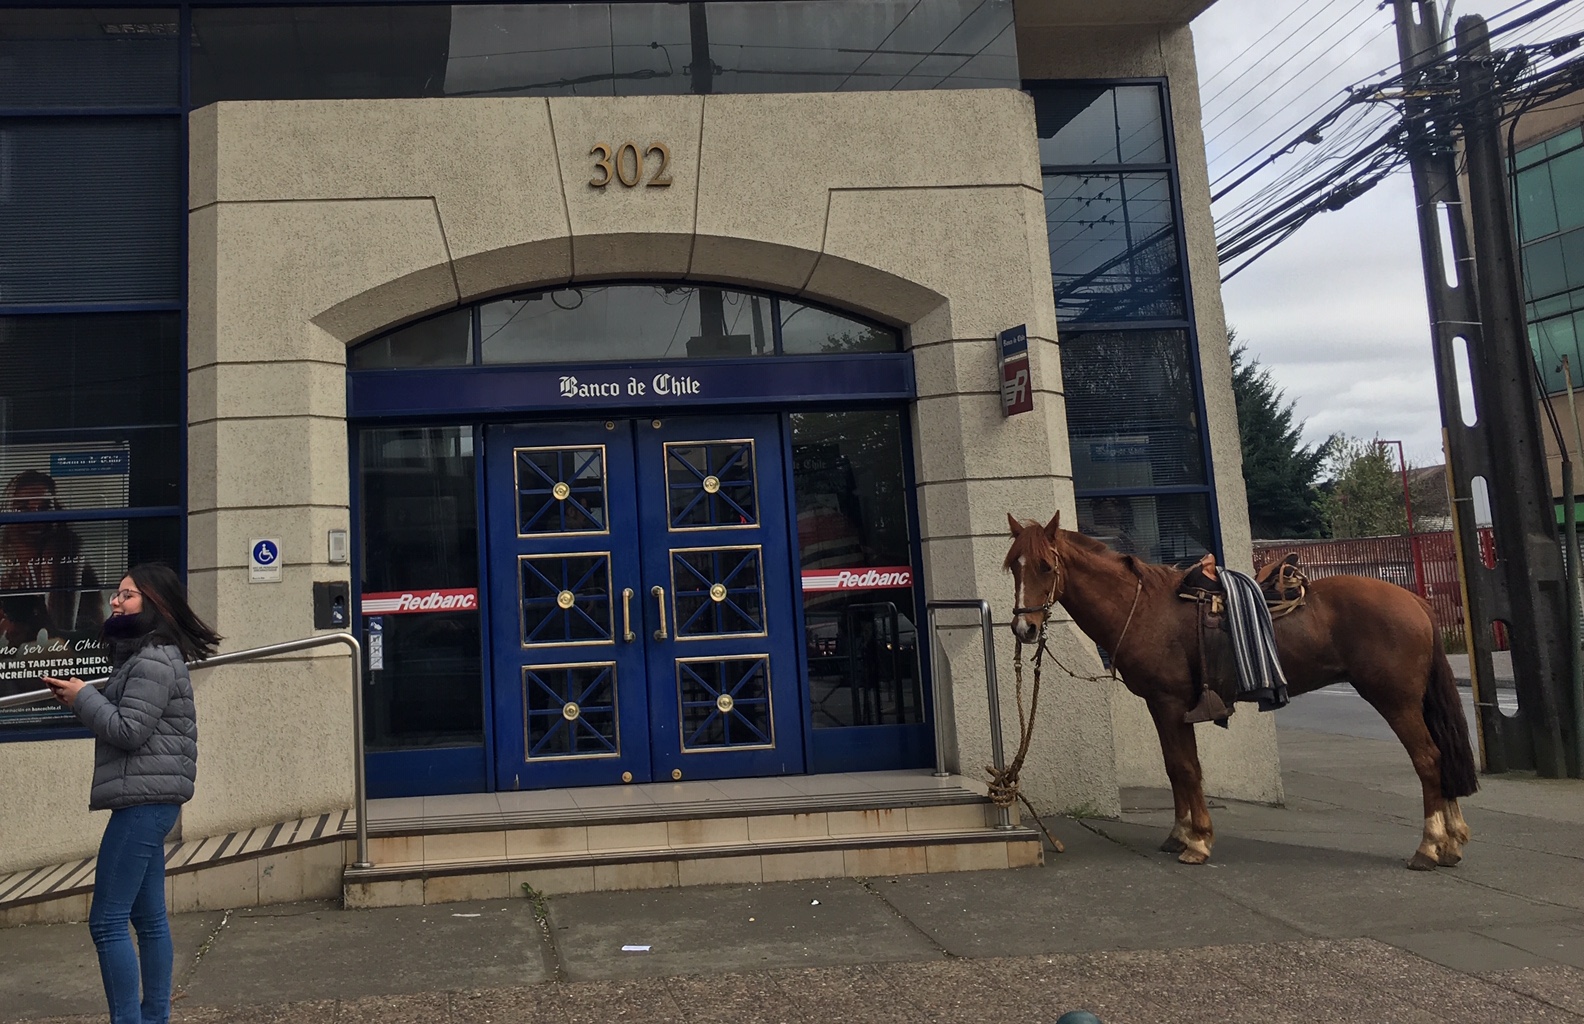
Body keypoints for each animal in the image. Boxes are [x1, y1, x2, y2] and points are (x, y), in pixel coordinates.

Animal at [1003, 512, 1479, 870]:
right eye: (1014, 566)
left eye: (1046, 566)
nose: (1025, 628)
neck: (1143, 609)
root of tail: (1414, 600)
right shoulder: (1162, 707)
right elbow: (1176, 768)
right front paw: (1181, 834)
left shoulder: (1170, 703)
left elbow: (1186, 768)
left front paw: (1198, 842)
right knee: (1441, 755)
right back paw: (1452, 842)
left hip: (1395, 700)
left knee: (1428, 759)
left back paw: (1428, 845)